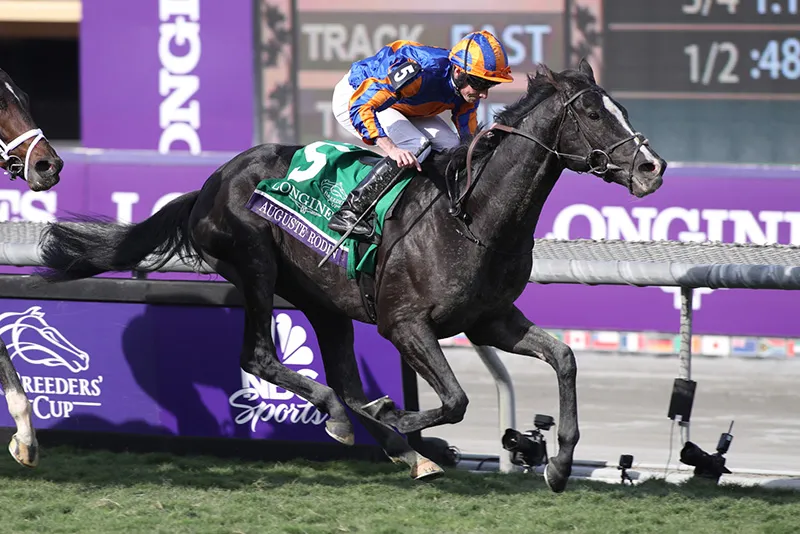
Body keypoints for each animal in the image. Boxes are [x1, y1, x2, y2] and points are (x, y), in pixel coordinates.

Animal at [35, 60, 665, 492]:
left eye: (620, 108)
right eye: (592, 113)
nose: (651, 167)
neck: (472, 215)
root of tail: (211, 183)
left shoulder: (491, 319)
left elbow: (564, 358)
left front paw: (559, 465)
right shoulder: (405, 323)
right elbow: (456, 398)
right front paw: (407, 417)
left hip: (326, 302)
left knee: (343, 378)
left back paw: (405, 448)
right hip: (257, 266)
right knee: (263, 357)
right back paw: (356, 423)